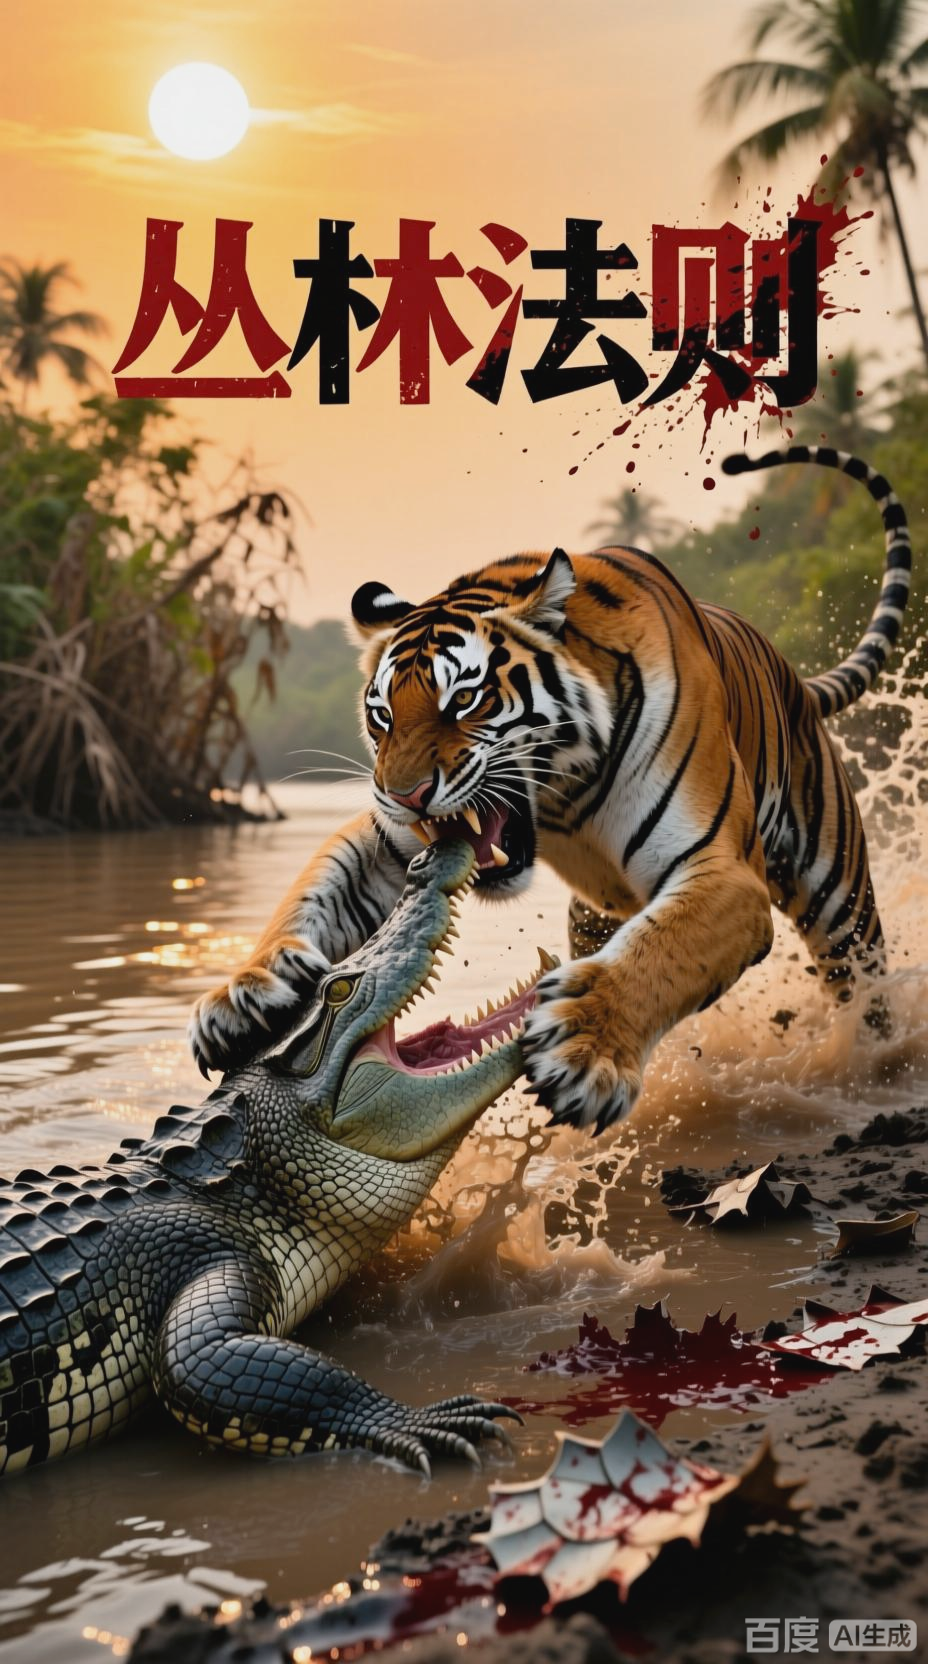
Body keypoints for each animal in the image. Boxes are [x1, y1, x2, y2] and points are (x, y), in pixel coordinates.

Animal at [189, 444, 912, 1136]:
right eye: (383, 715)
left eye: (464, 699)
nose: (406, 794)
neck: (564, 802)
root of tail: (796, 678)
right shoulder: (390, 843)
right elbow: (309, 895)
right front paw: (243, 997)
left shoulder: (723, 869)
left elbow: (664, 948)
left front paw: (584, 1050)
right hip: (595, 914)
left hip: (839, 896)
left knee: (866, 987)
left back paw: (880, 1066)